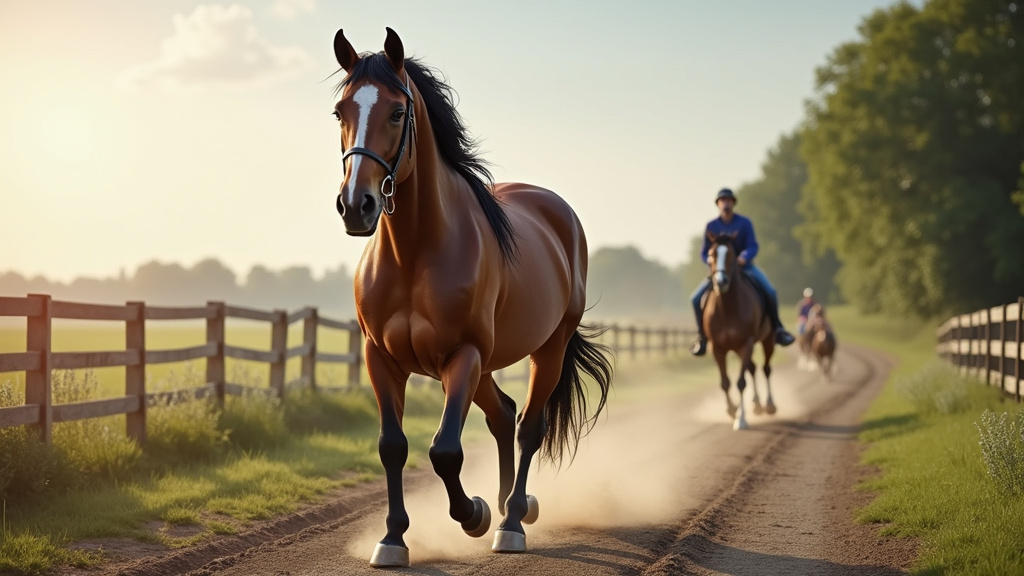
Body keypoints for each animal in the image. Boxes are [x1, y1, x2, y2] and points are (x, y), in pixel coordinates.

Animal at [329, 28, 613, 567]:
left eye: (396, 112)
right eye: (340, 112)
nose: (357, 206)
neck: (415, 254)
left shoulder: (461, 355)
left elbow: (444, 450)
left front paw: (474, 514)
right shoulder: (382, 359)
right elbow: (392, 446)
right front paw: (393, 539)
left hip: (544, 350)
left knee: (527, 426)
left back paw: (510, 520)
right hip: (485, 365)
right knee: (503, 414)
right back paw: (509, 504)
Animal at [703, 232, 776, 430]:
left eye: (731, 254)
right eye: (711, 254)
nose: (721, 282)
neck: (727, 308)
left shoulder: (746, 344)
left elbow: (741, 382)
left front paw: (741, 419)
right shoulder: (718, 348)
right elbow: (725, 383)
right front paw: (732, 410)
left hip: (767, 341)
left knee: (766, 369)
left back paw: (769, 405)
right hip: (736, 349)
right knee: (753, 368)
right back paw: (757, 404)